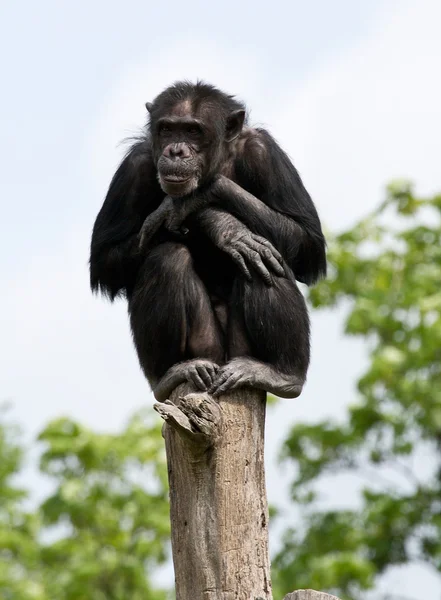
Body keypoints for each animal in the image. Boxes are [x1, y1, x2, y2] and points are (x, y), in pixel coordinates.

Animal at [89, 78, 324, 398]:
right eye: (167, 129)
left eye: (193, 131)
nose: (176, 151)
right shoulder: (133, 168)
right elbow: (105, 260)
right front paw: (216, 222)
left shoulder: (265, 152)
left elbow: (307, 242)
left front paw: (202, 202)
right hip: (206, 347)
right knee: (168, 257)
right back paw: (170, 374)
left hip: (239, 352)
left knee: (263, 257)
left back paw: (282, 374)